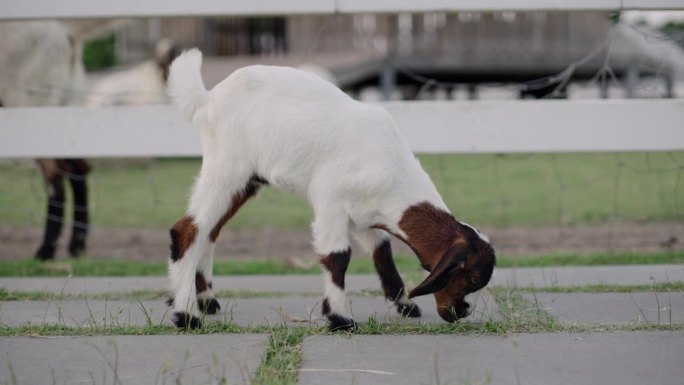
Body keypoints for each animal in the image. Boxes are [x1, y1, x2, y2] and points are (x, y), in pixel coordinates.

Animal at [167, 48, 496, 330]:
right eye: (472, 278)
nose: (461, 312)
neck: (389, 164)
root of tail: (208, 98)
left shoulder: (364, 214)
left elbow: (382, 252)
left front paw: (405, 304)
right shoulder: (330, 202)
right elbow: (337, 256)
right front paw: (340, 318)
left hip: (245, 182)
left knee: (210, 231)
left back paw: (205, 301)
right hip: (227, 169)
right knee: (188, 230)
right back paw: (187, 315)